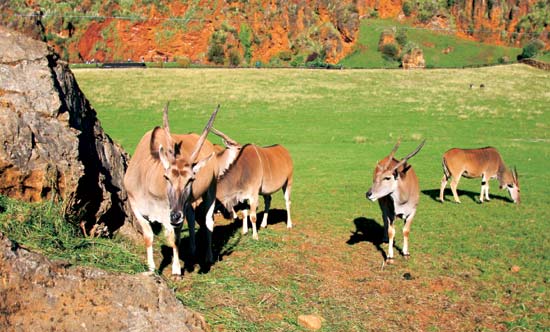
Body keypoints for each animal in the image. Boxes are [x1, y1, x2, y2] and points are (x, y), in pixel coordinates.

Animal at [125, 104, 242, 274]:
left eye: (191, 179)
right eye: (166, 177)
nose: (175, 216)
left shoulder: (175, 211)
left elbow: (175, 239)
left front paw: (176, 270)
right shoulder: (137, 208)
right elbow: (148, 236)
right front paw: (152, 268)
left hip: (210, 189)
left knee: (208, 220)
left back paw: (208, 256)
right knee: (192, 218)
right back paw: (192, 249)